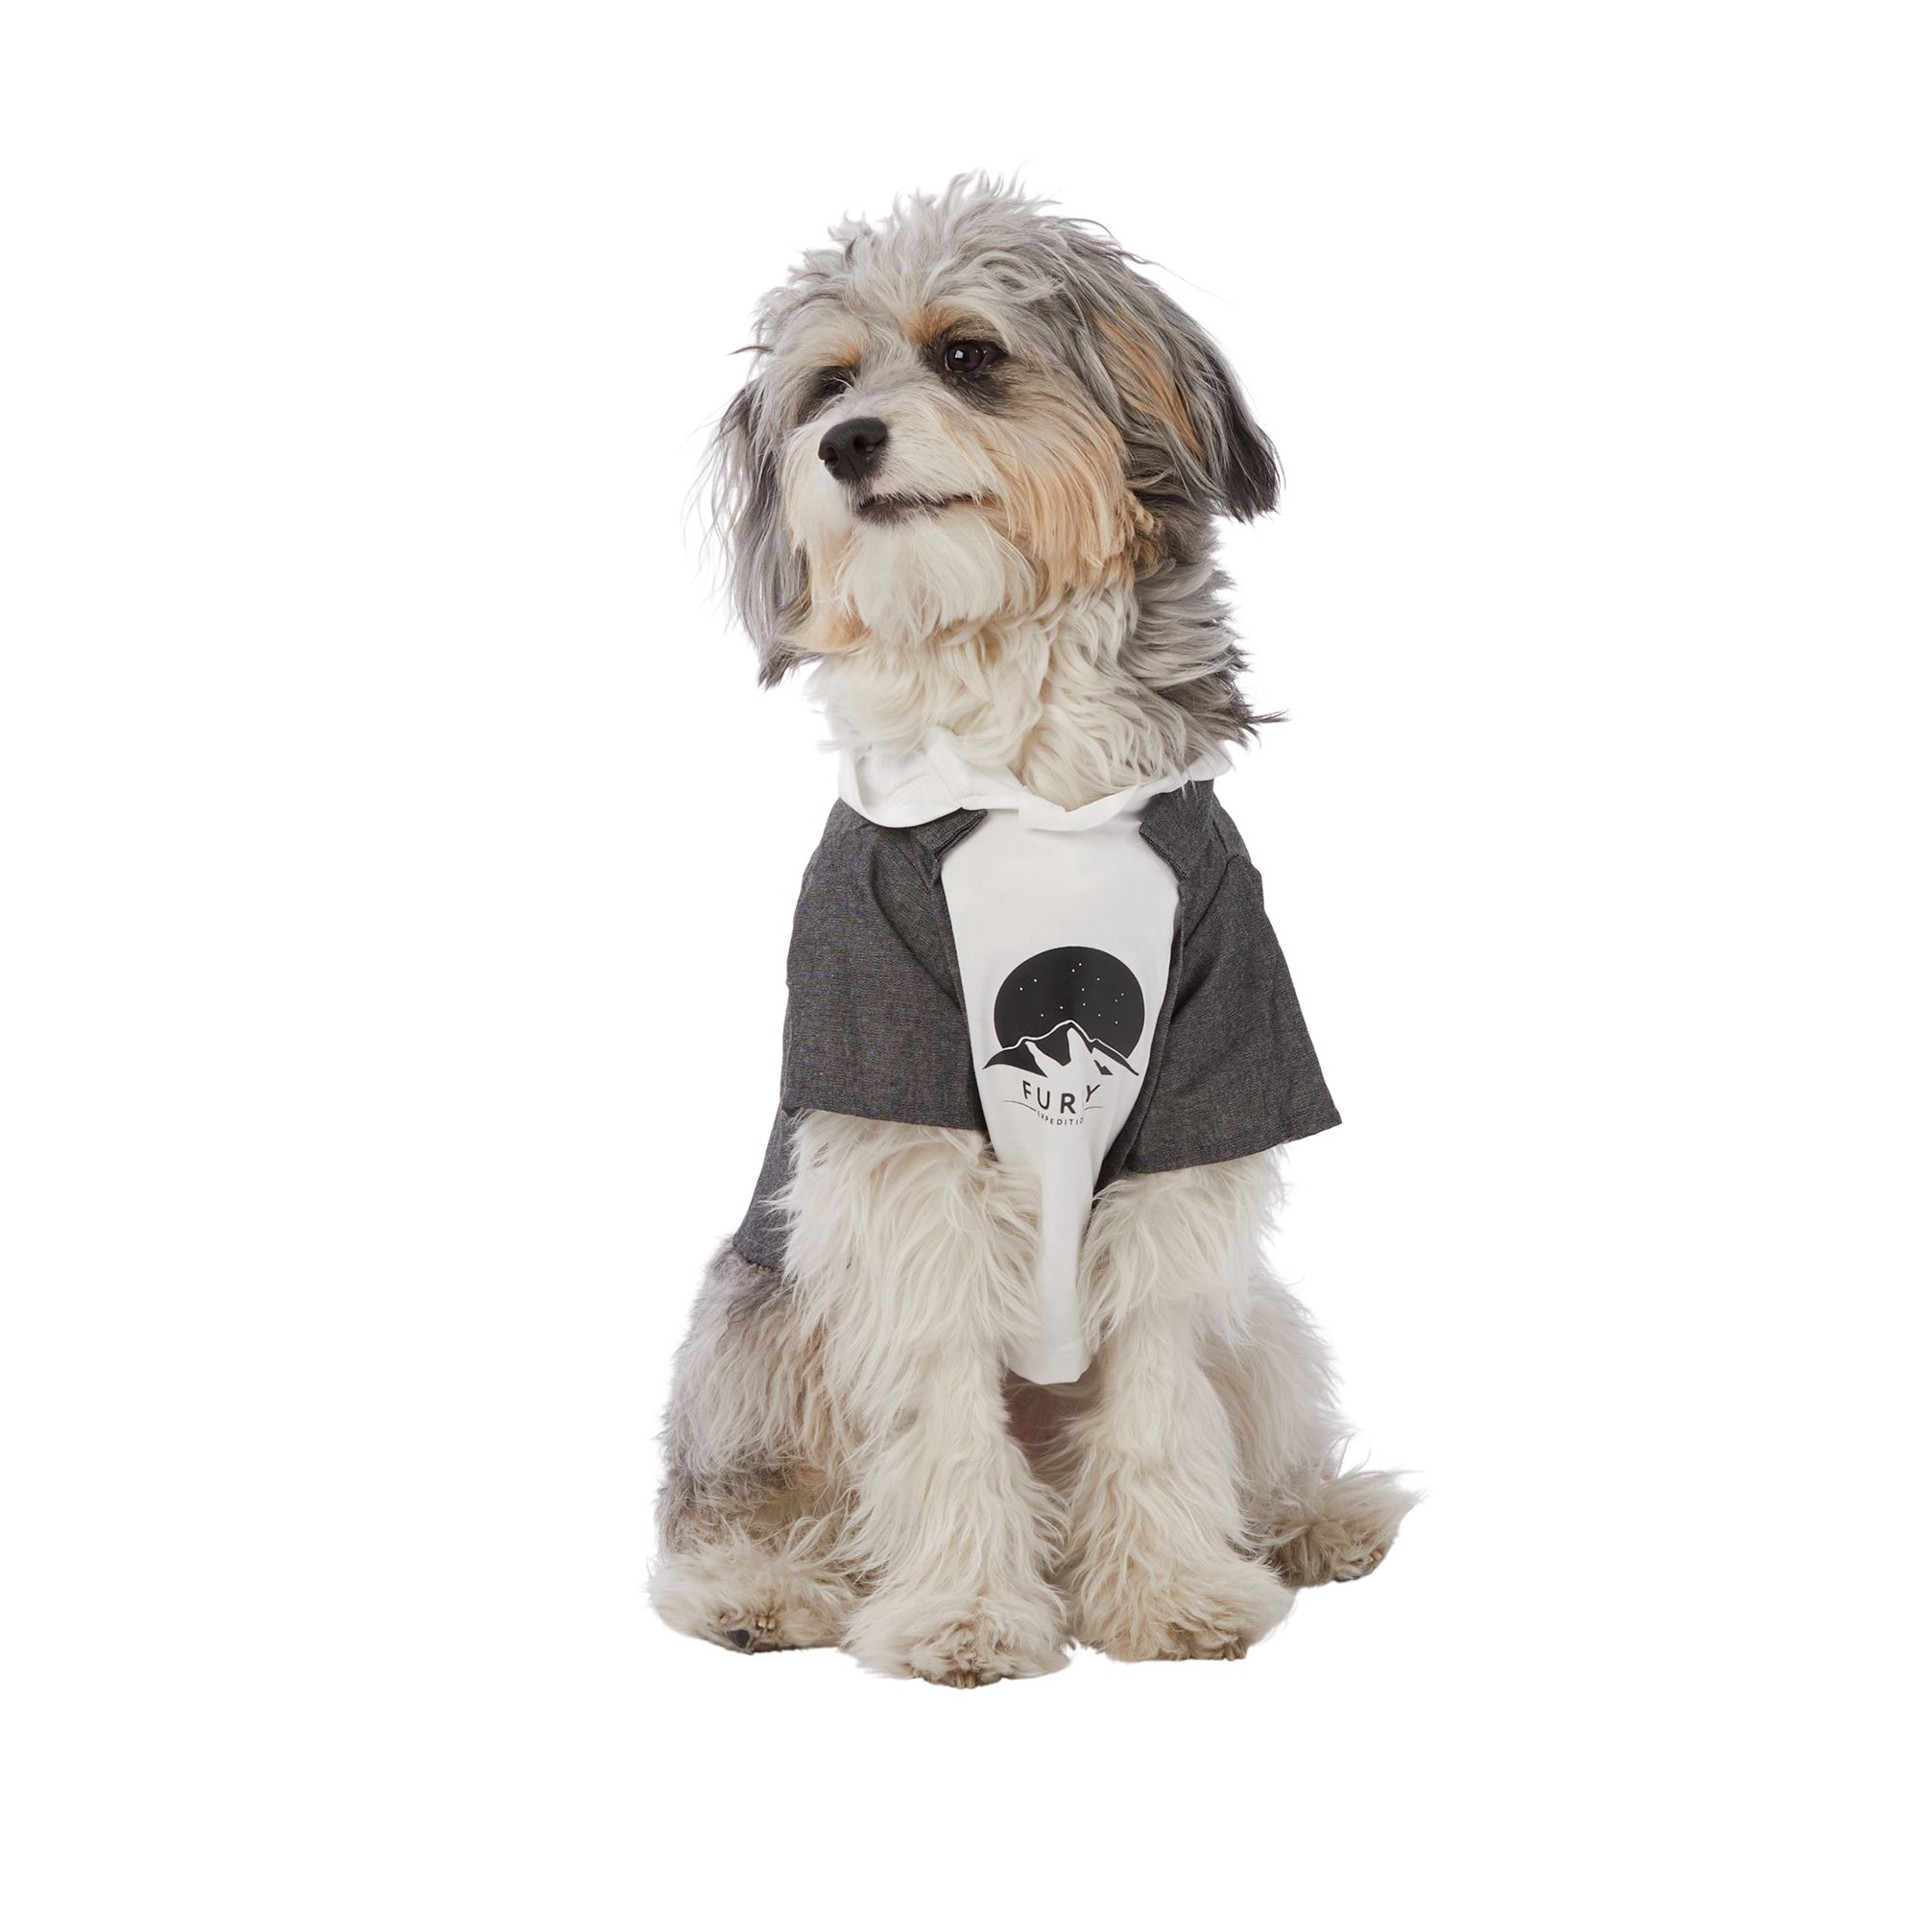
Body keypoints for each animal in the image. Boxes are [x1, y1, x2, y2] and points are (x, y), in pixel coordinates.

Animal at [651, 175, 1415, 1685]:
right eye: (827, 385)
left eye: (966, 355)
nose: (846, 442)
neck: (1026, 752)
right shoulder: (897, 1116)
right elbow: (943, 1404)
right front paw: (962, 1615)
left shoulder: (1207, 1082)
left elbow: (1161, 1395)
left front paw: (1172, 1598)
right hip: (762, 1323)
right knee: (747, 1505)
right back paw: (762, 1589)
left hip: (1263, 1327)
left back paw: (1317, 1521)